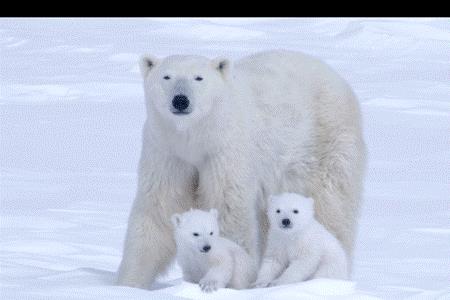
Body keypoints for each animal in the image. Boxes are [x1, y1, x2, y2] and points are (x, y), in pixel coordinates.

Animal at [115, 49, 366, 288]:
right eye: (167, 76)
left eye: (199, 78)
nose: (180, 100)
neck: (196, 136)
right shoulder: (167, 151)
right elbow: (158, 207)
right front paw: (129, 283)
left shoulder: (226, 149)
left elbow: (228, 208)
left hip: (326, 144)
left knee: (331, 209)